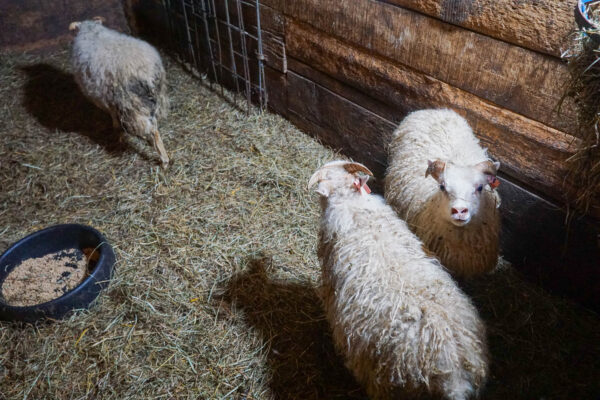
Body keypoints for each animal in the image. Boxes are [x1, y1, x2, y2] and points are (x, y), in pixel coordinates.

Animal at [69, 16, 170, 167]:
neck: (91, 30)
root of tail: (146, 71)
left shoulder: (102, 98)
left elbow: (113, 114)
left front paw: (117, 129)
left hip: (131, 104)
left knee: (152, 131)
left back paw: (164, 160)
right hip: (155, 98)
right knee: (154, 126)